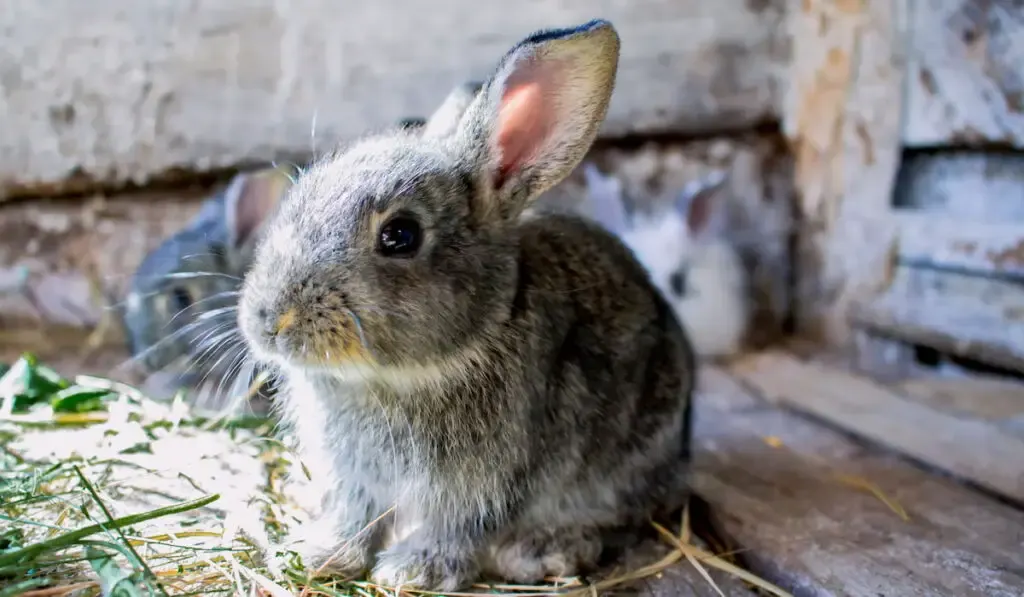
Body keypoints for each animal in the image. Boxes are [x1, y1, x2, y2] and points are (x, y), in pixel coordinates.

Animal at [237, 18, 696, 593]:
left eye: (400, 235)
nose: (269, 322)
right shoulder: (356, 477)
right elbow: (354, 514)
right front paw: (320, 553)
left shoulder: (491, 481)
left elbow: (458, 526)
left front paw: (415, 569)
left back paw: (542, 551)